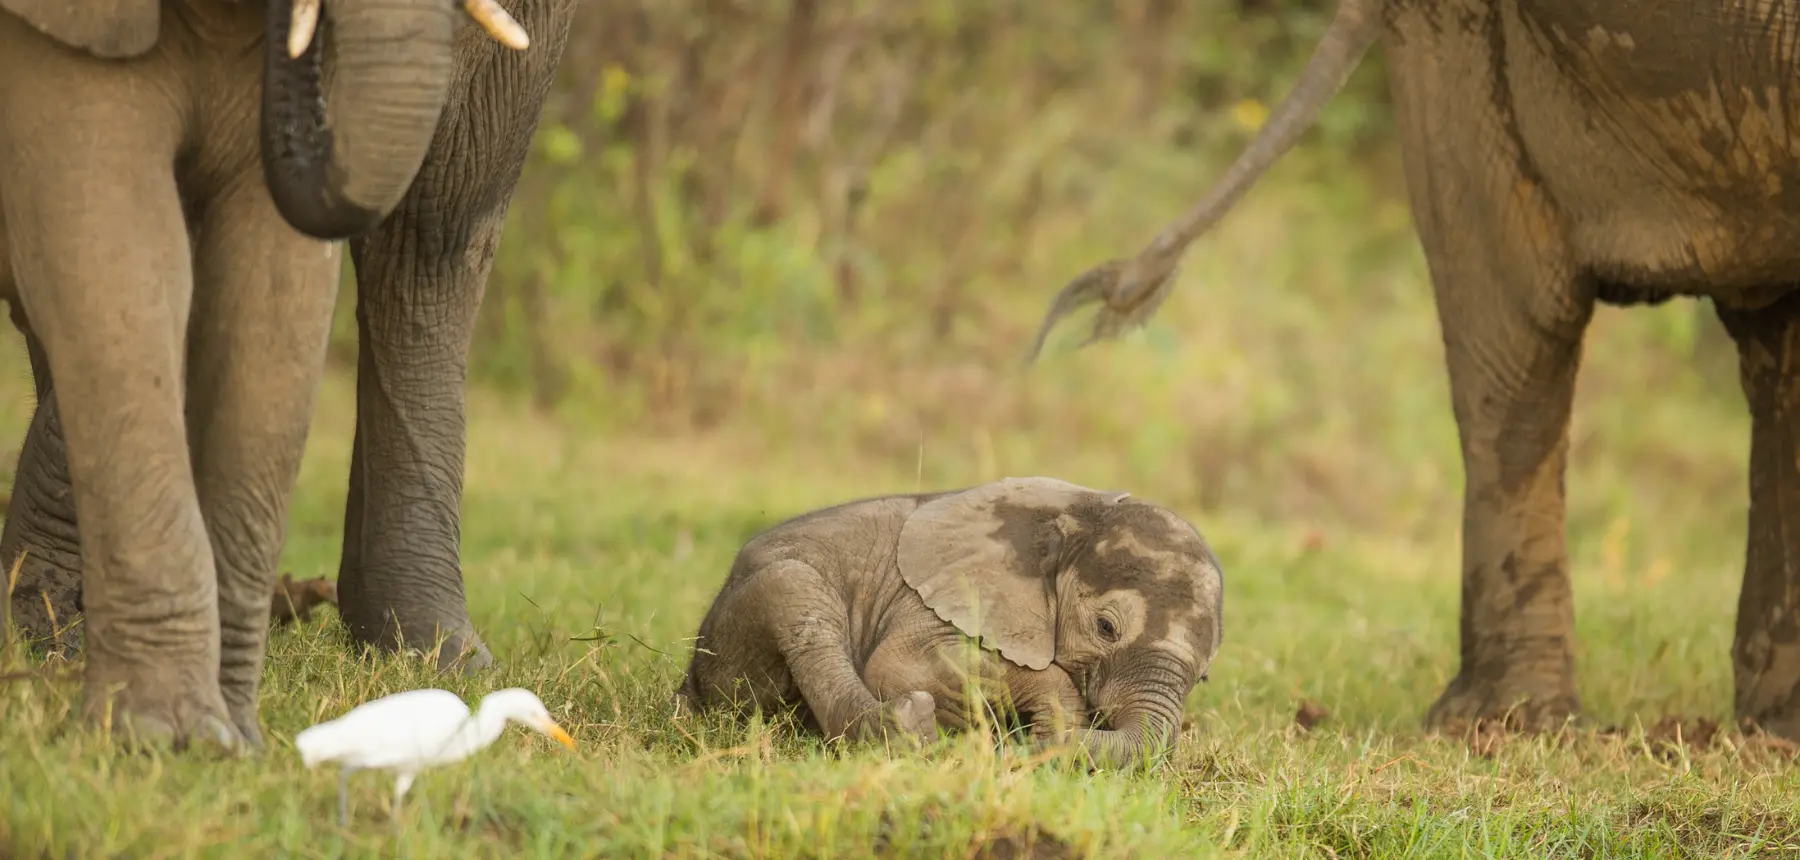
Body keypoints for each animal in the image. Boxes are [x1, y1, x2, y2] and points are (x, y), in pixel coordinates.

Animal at [0, 0, 553, 750]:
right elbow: (117, 249)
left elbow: (272, 284)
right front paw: (164, 735)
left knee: (437, 227)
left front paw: (224, 739)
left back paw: (438, 661)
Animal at [677, 476, 1226, 768]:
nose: (1030, 748)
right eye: (1106, 628)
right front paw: (1051, 724)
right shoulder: (940, 595)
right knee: (796, 592)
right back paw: (908, 728)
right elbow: (898, 667)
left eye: (1204, 677)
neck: (1079, 509)